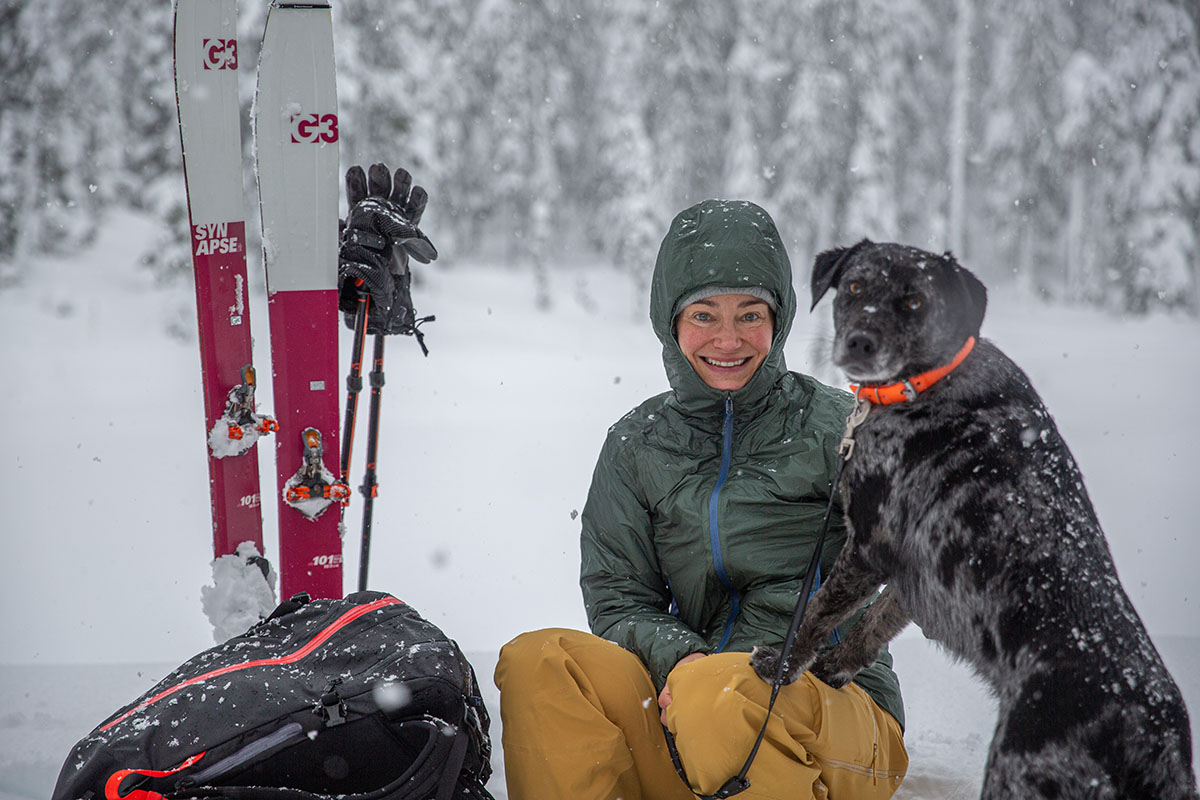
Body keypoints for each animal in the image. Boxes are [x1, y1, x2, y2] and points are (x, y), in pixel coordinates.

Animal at [753, 241, 1195, 800]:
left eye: (914, 301)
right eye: (853, 286)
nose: (860, 343)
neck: (924, 381)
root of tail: (1152, 734)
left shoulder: (870, 546)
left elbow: (813, 617)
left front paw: (780, 668)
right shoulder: (915, 574)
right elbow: (873, 626)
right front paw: (833, 671)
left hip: (1016, 770)